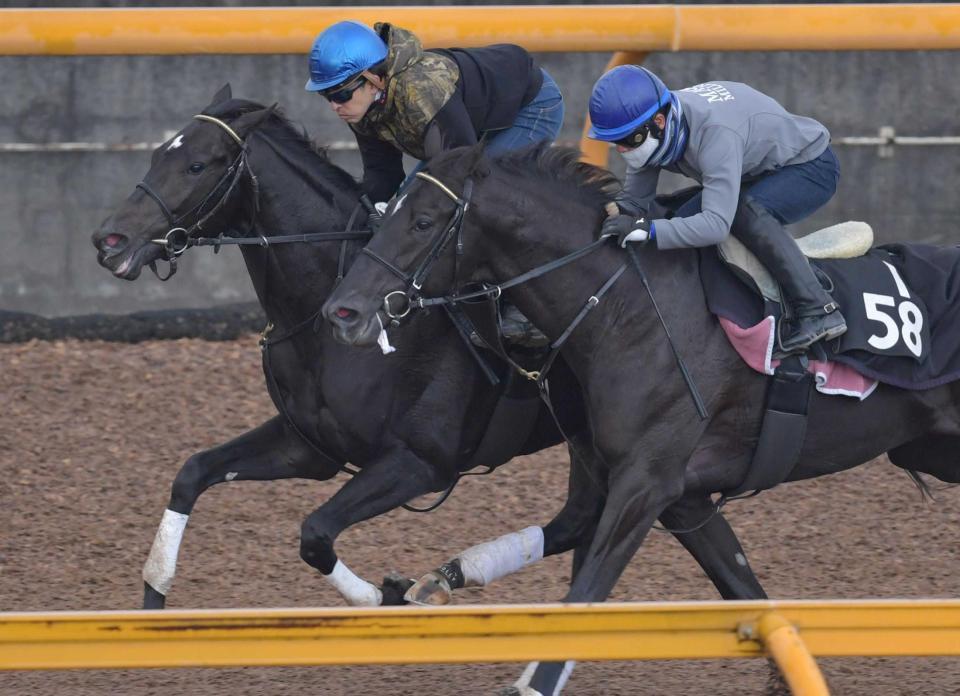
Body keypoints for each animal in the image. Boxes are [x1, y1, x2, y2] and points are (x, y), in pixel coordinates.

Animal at [90, 88, 764, 616]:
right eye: (157, 153)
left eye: (197, 164)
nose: (108, 240)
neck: (324, 306)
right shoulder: (310, 446)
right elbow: (193, 472)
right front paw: (154, 593)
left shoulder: (419, 461)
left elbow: (315, 532)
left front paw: (386, 594)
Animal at [324, 141, 960, 696]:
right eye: (387, 212)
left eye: (424, 222)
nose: (342, 312)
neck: (626, 308)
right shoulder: (667, 492)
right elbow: (737, 582)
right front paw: (433, 583)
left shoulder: (646, 483)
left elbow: (585, 592)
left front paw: (529, 681)